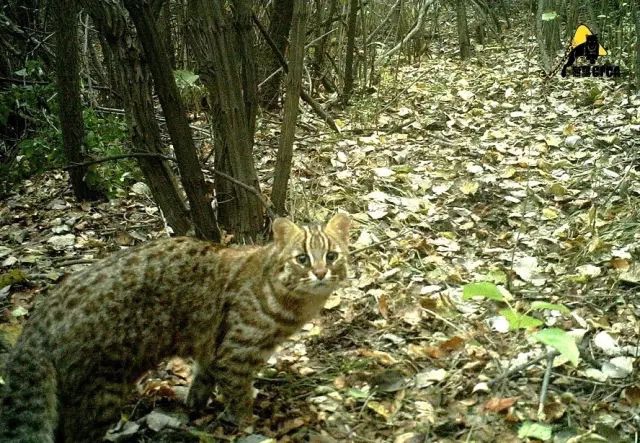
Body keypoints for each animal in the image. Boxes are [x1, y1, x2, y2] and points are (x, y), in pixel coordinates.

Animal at [0, 214, 350, 440]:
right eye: (302, 259)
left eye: (332, 256)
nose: (321, 273)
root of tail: (37, 323)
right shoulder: (236, 352)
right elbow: (239, 393)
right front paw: (245, 422)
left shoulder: (213, 348)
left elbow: (205, 375)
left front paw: (195, 403)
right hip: (101, 391)